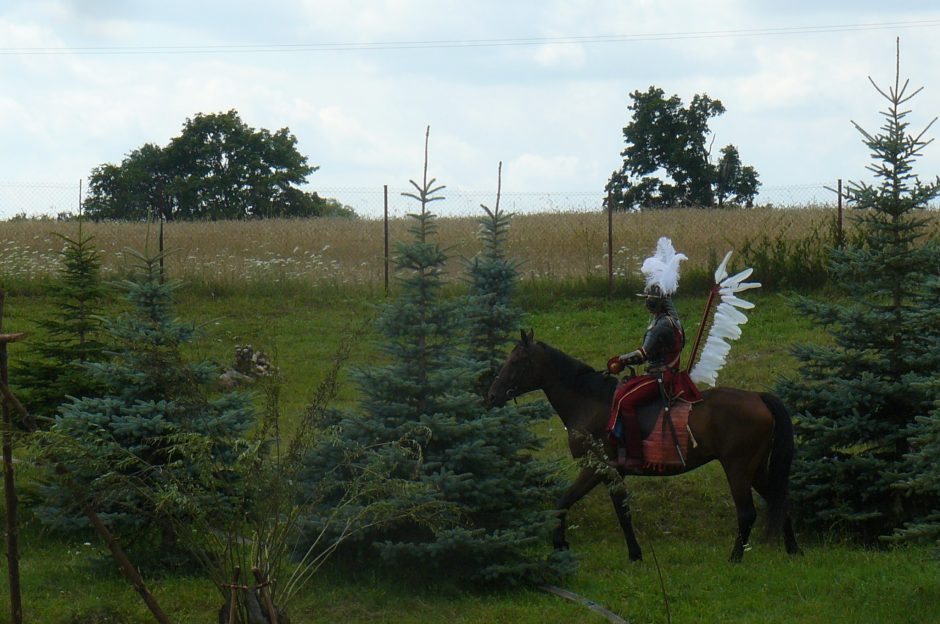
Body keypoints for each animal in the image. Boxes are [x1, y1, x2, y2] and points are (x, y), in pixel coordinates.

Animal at [484, 330, 800, 564]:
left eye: (516, 361)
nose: (492, 395)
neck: (590, 403)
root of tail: (758, 398)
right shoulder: (607, 473)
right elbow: (605, 509)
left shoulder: (598, 469)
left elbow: (575, 504)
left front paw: (566, 543)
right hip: (756, 469)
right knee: (780, 500)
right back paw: (793, 550)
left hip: (738, 469)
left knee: (747, 512)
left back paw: (735, 558)